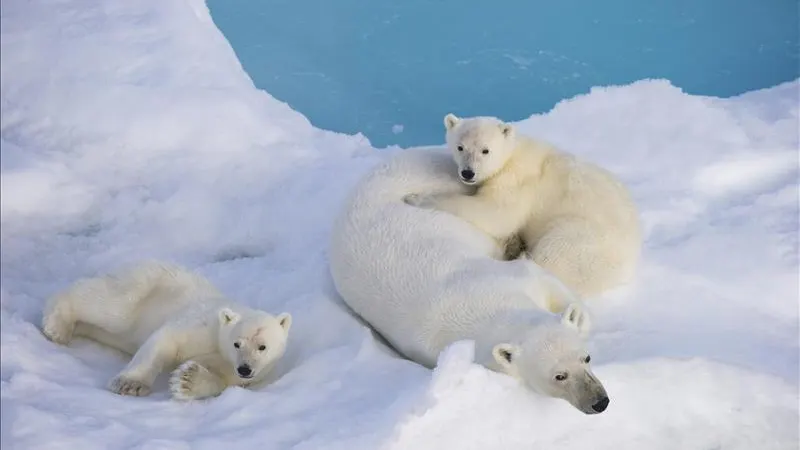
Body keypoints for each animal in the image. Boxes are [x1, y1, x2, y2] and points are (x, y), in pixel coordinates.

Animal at [39, 260, 290, 400]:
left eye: (262, 347)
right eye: (237, 343)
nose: (245, 368)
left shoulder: (231, 369)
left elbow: (219, 380)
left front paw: (187, 380)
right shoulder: (201, 322)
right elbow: (166, 339)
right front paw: (130, 384)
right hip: (142, 287)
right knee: (108, 306)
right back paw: (58, 326)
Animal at [332, 146, 612, 414]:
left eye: (586, 358)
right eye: (559, 376)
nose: (600, 402)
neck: (483, 303)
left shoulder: (511, 277)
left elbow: (546, 280)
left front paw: (576, 315)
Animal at [406, 114, 644, 298]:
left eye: (485, 150)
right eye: (460, 147)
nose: (468, 173)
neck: (512, 153)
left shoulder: (518, 180)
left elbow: (497, 214)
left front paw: (416, 198)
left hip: (582, 237)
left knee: (552, 254)